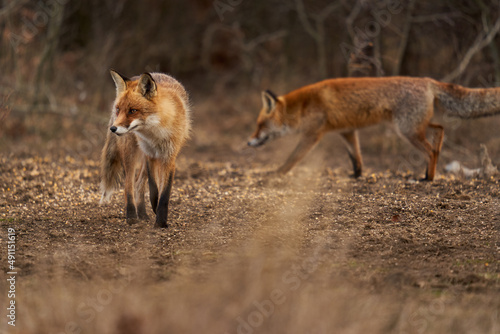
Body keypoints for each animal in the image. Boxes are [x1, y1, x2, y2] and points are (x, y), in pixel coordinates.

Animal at [100, 70, 190, 227]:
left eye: (132, 111)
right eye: (119, 109)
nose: (113, 128)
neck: (156, 133)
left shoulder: (169, 157)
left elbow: (164, 192)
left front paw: (161, 222)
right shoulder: (150, 154)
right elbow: (153, 188)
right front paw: (155, 208)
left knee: (137, 184)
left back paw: (142, 214)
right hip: (130, 152)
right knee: (129, 185)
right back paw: (132, 215)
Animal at [248, 76, 500, 180]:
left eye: (260, 125)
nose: (249, 142)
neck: (303, 106)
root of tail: (428, 80)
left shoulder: (313, 135)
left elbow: (292, 158)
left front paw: (275, 174)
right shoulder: (347, 131)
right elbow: (356, 158)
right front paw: (356, 175)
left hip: (406, 130)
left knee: (431, 151)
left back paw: (428, 178)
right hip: (414, 125)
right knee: (439, 129)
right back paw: (431, 168)